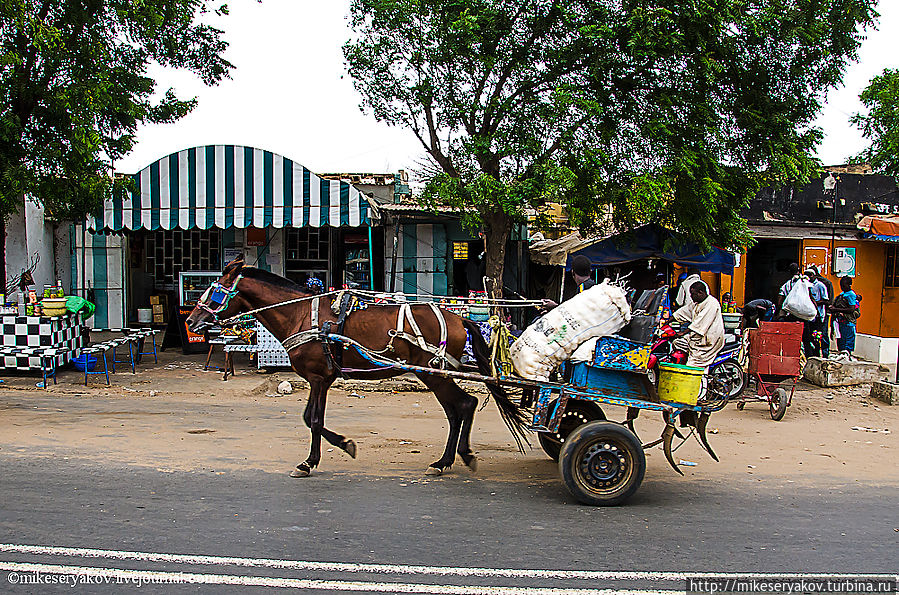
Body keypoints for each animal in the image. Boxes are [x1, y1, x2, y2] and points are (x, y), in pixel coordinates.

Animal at [186, 256, 532, 480]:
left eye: (214, 291)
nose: (191, 321)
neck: (301, 314)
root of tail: (458, 318)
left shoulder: (319, 377)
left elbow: (313, 420)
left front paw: (313, 460)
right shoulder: (323, 378)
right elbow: (310, 418)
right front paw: (340, 446)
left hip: (431, 371)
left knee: (464, 404)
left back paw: (457, 457)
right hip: (434, 373)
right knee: (457, 408)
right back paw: (447, 459)